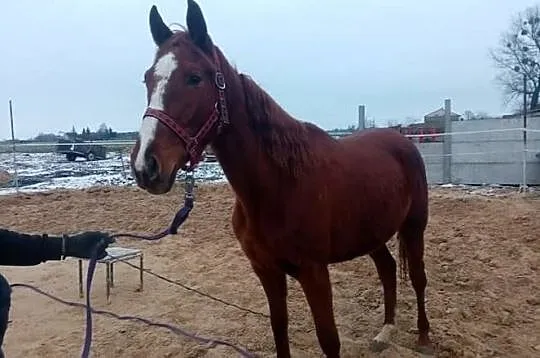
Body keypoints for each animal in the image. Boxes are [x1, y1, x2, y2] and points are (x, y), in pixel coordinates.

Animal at [132, 1, 434, 356]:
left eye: (195, 77)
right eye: (147, 79)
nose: (146, 166)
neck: (278, 185)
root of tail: (402, 139)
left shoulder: (314, 272)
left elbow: (329, 340)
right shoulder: (266, 270)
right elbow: (279, 327)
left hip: (414, 226)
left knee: (418, 277)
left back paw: (423, 336)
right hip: (371, 233)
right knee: (387, 270)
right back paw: (384, 332)